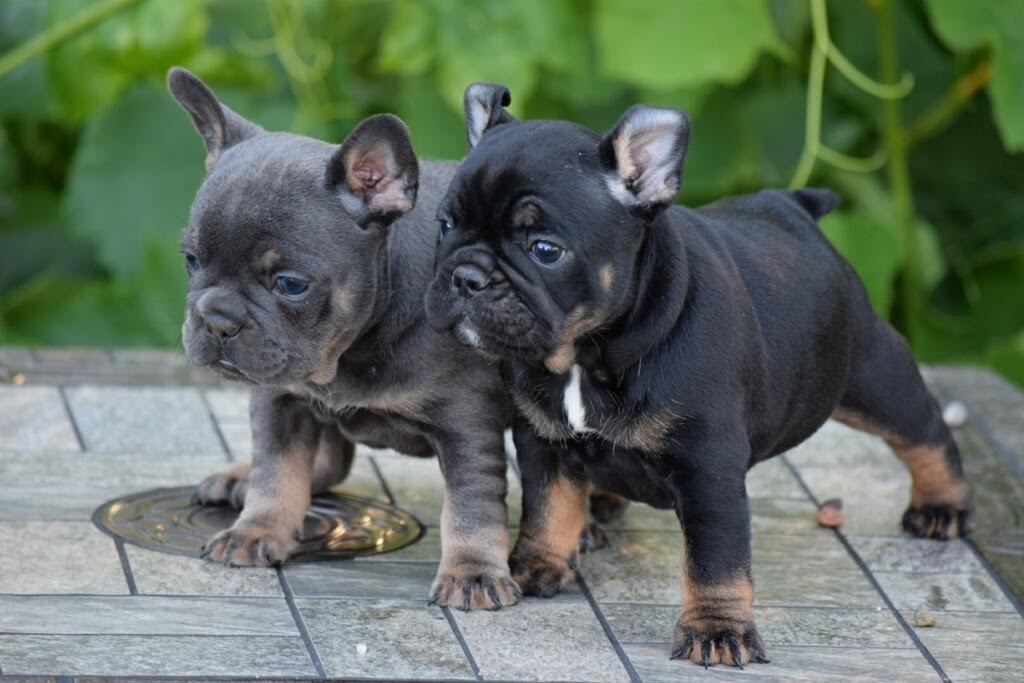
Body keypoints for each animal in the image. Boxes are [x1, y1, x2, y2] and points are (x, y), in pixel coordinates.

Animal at [169, 69, 520, 610]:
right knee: (324, 463)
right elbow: (278, 473)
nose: (219, 319)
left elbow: (472, 506)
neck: (353, 350)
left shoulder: (468, 423)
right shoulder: (281, 398)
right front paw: (257, 529)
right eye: (191, 260)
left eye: (291, 284)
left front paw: (473, 572)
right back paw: (239, 477)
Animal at [425, 85, 974, 667]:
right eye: (445, 225)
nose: (466, 276)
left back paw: (941, 506)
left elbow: (714, 559)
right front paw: (536, 564)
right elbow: (548, 507)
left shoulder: (707, 471)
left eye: (545, 250)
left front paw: (716, 629)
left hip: (870, 374)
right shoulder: (543, 443)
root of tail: (788, 206)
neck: (587, 357)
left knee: (925, 431)